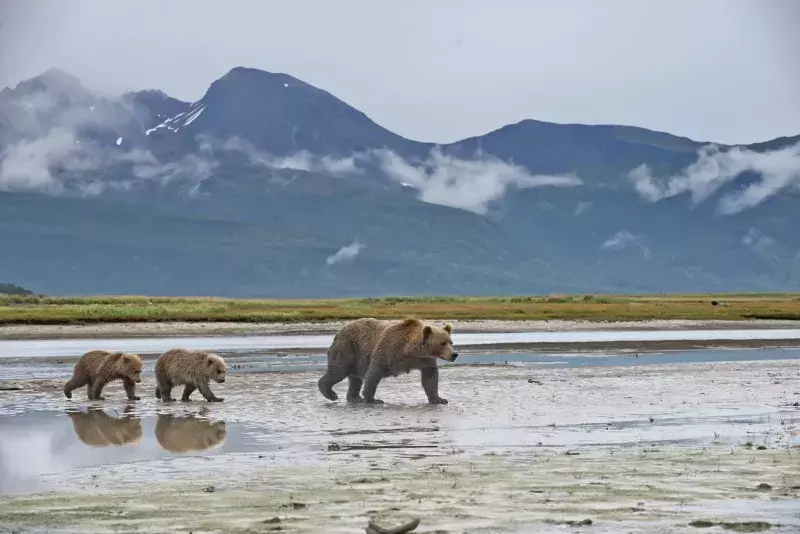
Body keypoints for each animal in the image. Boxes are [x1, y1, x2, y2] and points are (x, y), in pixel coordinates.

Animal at [318, 318, 456, 406]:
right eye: (442, 343)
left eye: (451, 342)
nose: (454, 354)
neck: (410, 350)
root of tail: (339, 331)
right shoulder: (389, 350)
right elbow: (374, 373)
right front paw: (373, 399)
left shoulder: (425, 360)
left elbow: (430, 378)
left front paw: (439, 399)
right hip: (348, 348)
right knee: (338, 371)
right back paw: (331, 394)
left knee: (355, 378)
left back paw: (355, 398)